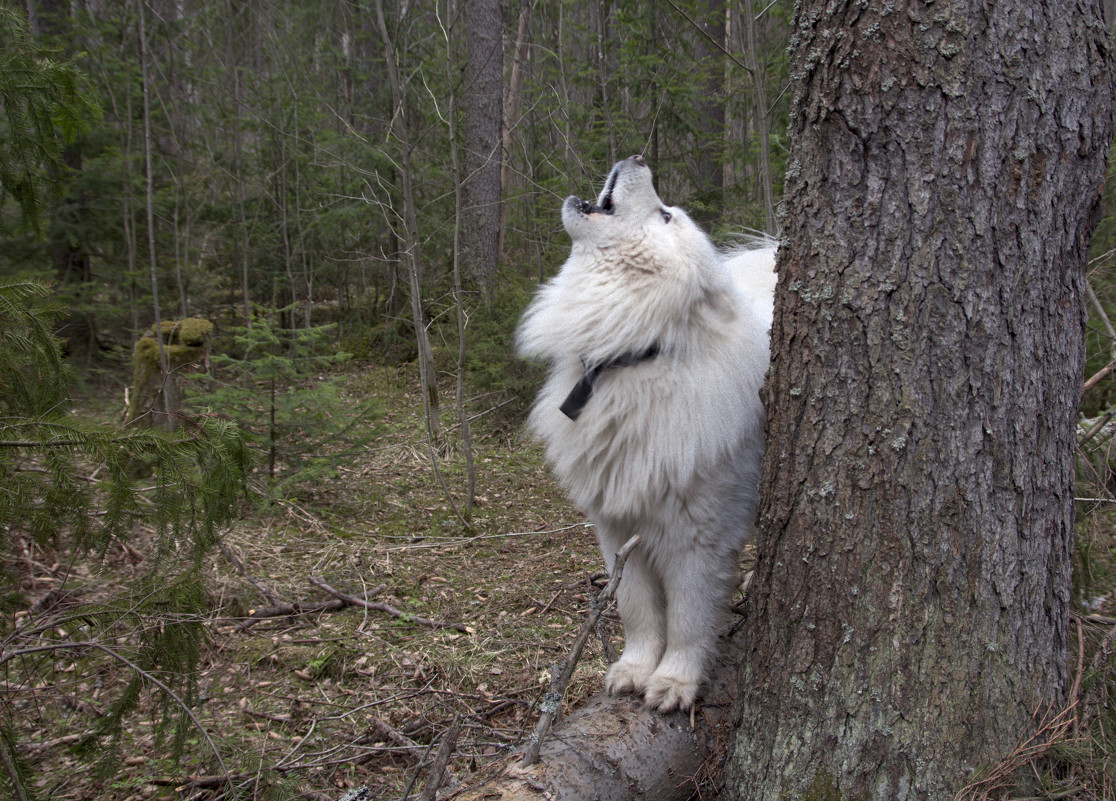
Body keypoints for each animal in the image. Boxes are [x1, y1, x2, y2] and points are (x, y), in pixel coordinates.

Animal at [515, 157, 772, 713]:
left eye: (666, 216)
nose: (636, 159)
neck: (633, 358)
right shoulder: (617, 528)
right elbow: (636, 609)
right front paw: (634, 670)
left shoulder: (701, 539)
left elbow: (688, 618)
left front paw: (674, 681)